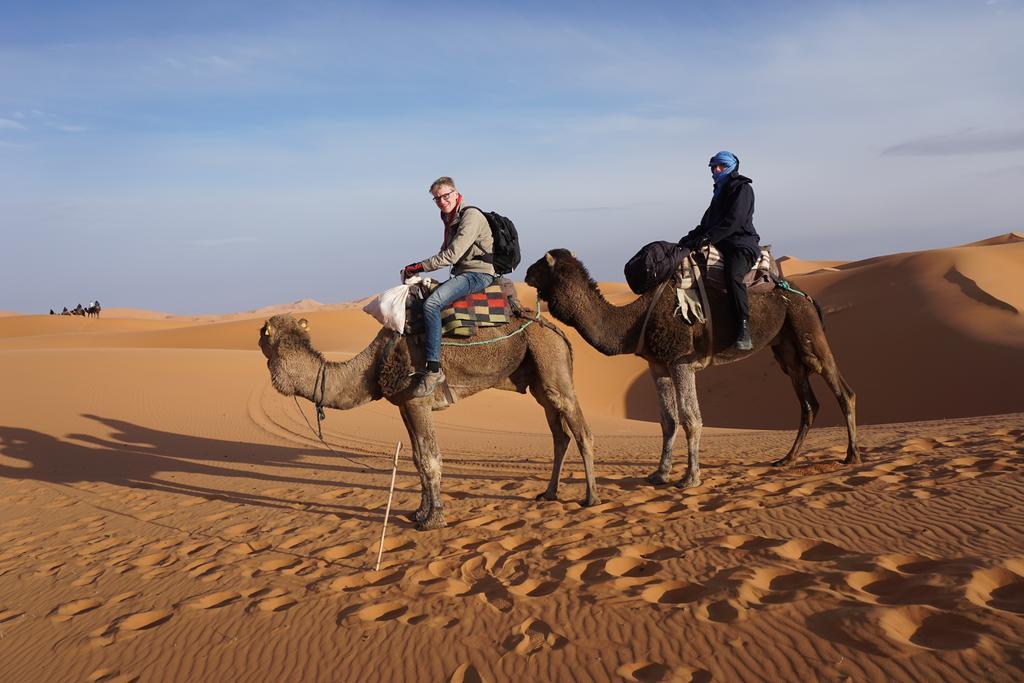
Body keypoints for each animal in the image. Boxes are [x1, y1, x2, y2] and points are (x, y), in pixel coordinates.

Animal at [256, 313, 602, 532]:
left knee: (581, 431)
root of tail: (558, 331)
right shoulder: (405, 405)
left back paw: (591, 498)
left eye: (263, 331)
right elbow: (416, 458)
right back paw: (549, 493)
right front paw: (419, 512)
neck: (372, 366)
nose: (259, 333)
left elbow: (430, 459)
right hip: (538, 380)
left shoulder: (418, 400)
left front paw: (434, 520)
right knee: (560, 435)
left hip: (551, 362)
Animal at [524, 248, 860, 489]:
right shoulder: (657, 364)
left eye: (541, 265)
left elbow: (691, 419)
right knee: (808, 402)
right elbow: (668, 420)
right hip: (785, 346)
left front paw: (690, 478)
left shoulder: (680, 360)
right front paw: (660, 474)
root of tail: (804, 293)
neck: (633, 320)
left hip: (807, 328)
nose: (525, 272)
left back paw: (852, 455)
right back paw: (787, 459)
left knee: (843, 390)